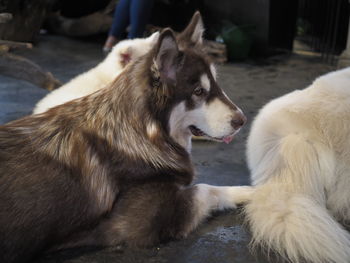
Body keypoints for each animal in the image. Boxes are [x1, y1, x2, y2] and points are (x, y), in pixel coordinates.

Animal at [0, 12, 252, 263]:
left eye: (216, 84)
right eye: (199, 92)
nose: (243, 120)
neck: (142, 132)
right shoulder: (139, 223)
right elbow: (208, 188)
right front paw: (248, 191)